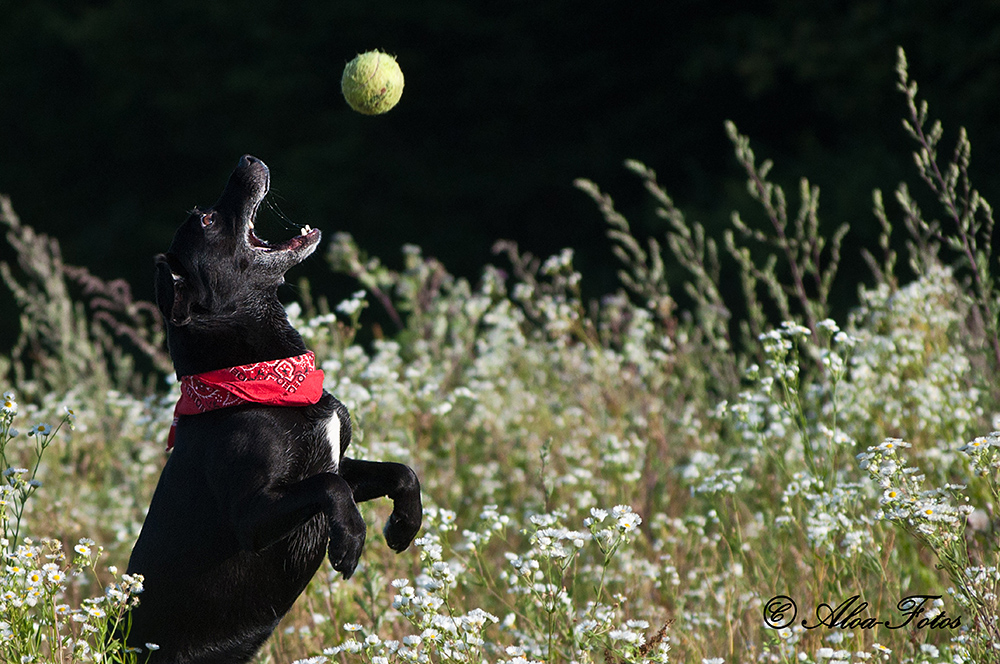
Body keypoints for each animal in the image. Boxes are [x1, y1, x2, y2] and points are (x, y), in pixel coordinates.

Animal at [126, 157, 422, 664]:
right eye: (207, 221)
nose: (246, 160)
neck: (257, 380)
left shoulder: (338, 463)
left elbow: (400, 472)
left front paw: (404, 523)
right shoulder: (254, 514)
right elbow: (329, 488)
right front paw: (350, 540)